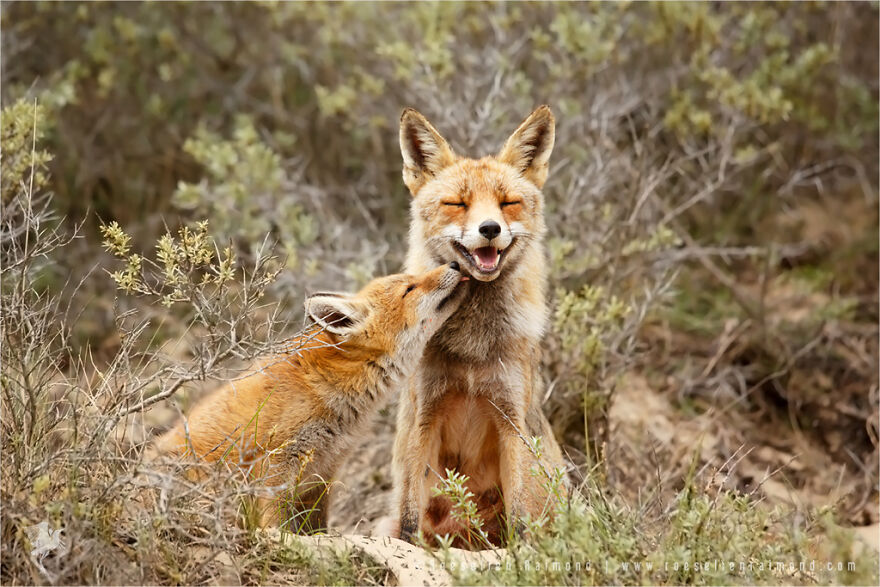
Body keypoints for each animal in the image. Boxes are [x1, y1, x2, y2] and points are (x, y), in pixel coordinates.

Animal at [151, 262, 468, 532]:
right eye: (409, 288)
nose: (455, 264)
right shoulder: (278, 463)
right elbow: (275, 523)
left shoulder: (323, 472)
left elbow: (317, 527)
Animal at [388, 104, 568, 548]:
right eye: (457, 203)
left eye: (508, 203)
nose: (490, 229)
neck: (472, 346)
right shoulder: (425, 415)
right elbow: (409, 519)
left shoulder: (511, 419)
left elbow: (521, 517)